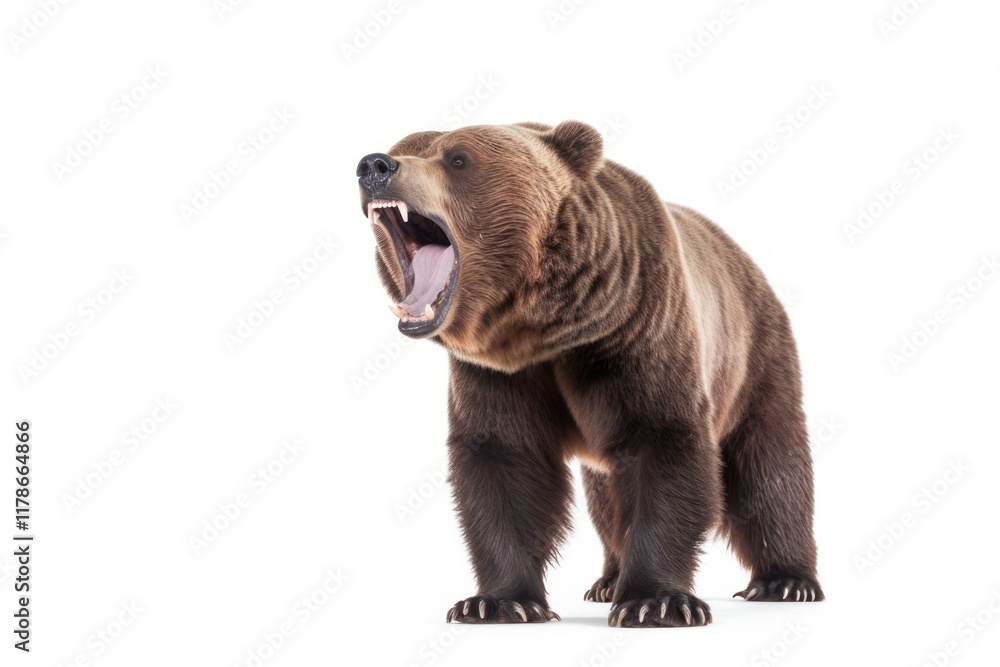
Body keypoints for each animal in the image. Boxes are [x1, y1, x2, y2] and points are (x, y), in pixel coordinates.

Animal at [355, 121, 824, 628]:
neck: (545, 330)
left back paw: (786, 581)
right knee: (605, 499)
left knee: (770, 469)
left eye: (457, 158)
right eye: (406, 146)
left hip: (754, 355)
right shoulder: (497, 374)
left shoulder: (637, 330)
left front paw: (655, 602)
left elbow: (664, 446)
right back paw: (607, 581)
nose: (375, 166)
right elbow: (503, 461)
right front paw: (495, 601)